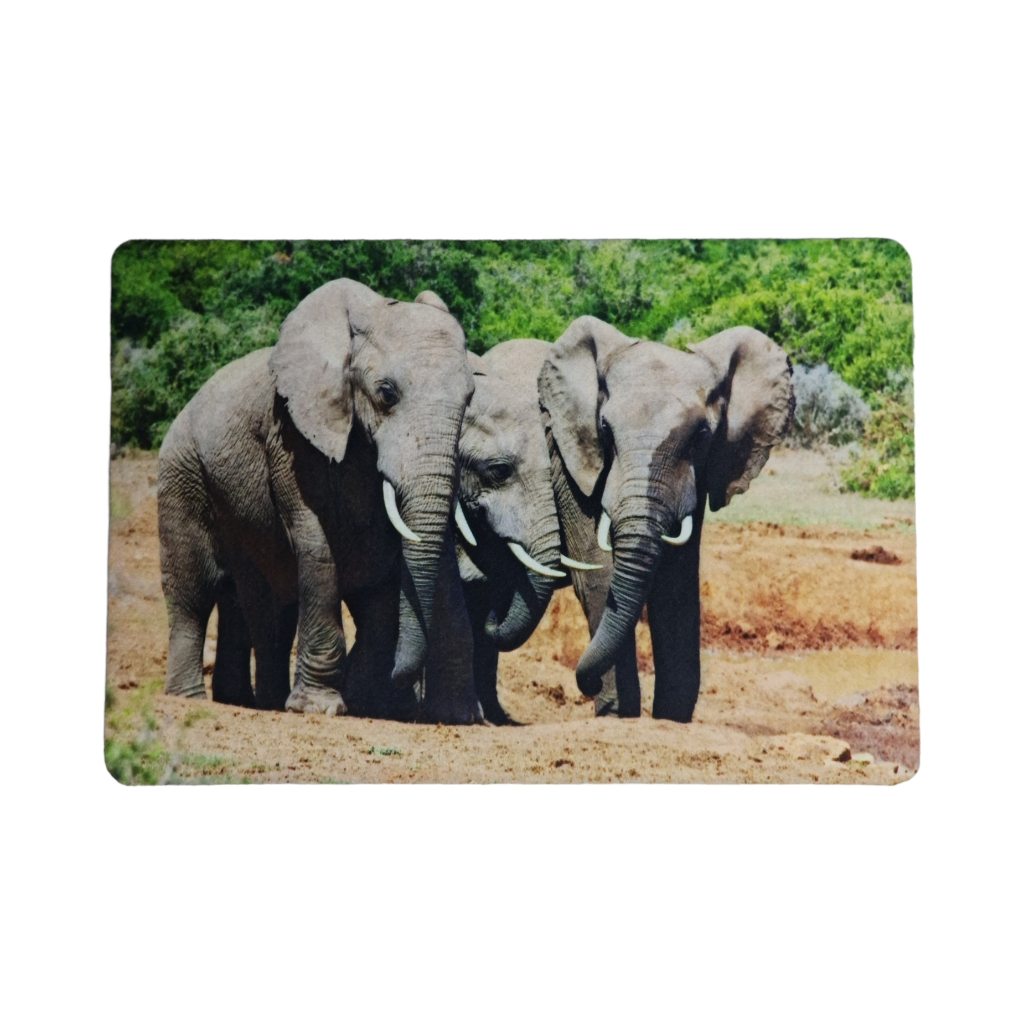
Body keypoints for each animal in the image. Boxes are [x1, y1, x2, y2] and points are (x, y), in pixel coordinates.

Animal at [157, 278, 481, 722]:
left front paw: (453, 715)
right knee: (195, 589)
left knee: (258, 600)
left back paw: (256, 702)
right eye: (386, 393)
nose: (404, 684)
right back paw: (189, 700)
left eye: (469, 398)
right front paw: (320, 708)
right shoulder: (291, 435)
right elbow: (316, 544)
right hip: (182, 471)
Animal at [486, 318, 793, 721]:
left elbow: (676, 587)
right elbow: (600, 576)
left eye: (701, 437)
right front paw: (619, 715)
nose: (584, 684)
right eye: (605, 430)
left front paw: (671, 719)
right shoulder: (569, 462)